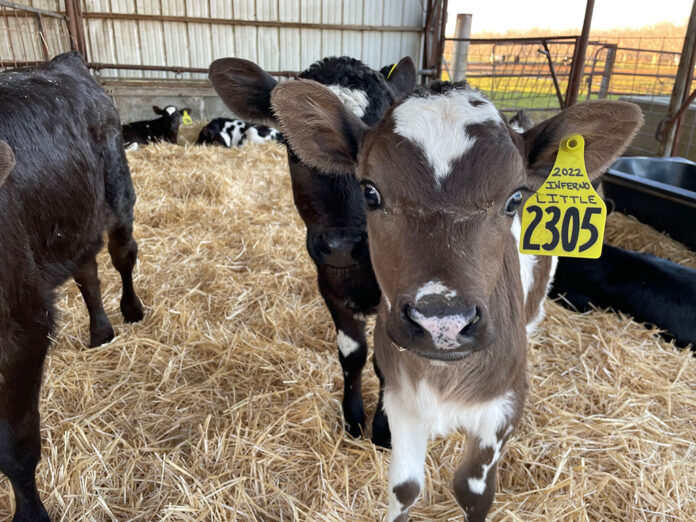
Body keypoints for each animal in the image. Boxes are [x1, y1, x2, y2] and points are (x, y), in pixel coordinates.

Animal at [0, 52, 144, 522]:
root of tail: (64, 61)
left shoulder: (24, 326)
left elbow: (16, 446)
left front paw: (30, 515)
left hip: (118, 194)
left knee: (122, 254)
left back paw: (131, 311)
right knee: (87, 272)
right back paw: (100, 332)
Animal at [208, 56, 417, 447]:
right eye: (294, 149)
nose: (342, 245)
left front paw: (384, 431)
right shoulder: (329, 285)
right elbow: (352, 355)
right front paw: (353, 420)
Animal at [270, 79, 642, 521]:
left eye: (514, 199)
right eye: (370, 192)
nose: (441, 322)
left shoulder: (505, 407)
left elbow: (473, 492)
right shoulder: (401, 399)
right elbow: (404, 487)